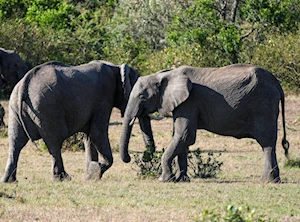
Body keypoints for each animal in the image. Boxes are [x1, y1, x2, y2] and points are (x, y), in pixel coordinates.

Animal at [0, 60, 155, 182]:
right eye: (141, 95)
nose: (129, 158)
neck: (115, 67)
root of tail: (25, 83)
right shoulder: (104, 97)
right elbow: (97, 132)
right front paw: (95, 170)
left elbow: (89, 137)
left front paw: (90, 176)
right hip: (47, 108)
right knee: (54, 143)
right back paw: (63, 178)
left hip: (15, 107)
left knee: (16, 142)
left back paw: (9, 180)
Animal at [120, 64, 290, 184]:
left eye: (142, 96)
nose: (128, 159)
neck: (165, 75)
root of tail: (278, 85)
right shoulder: (182, 104)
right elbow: (181, 138)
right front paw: (182, 180)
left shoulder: (189, 102)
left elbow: (184, 136)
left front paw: (165, 180)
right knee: (269, 143)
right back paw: (274, 180)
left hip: (263, 106)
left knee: (266, 142)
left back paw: (266, 181)